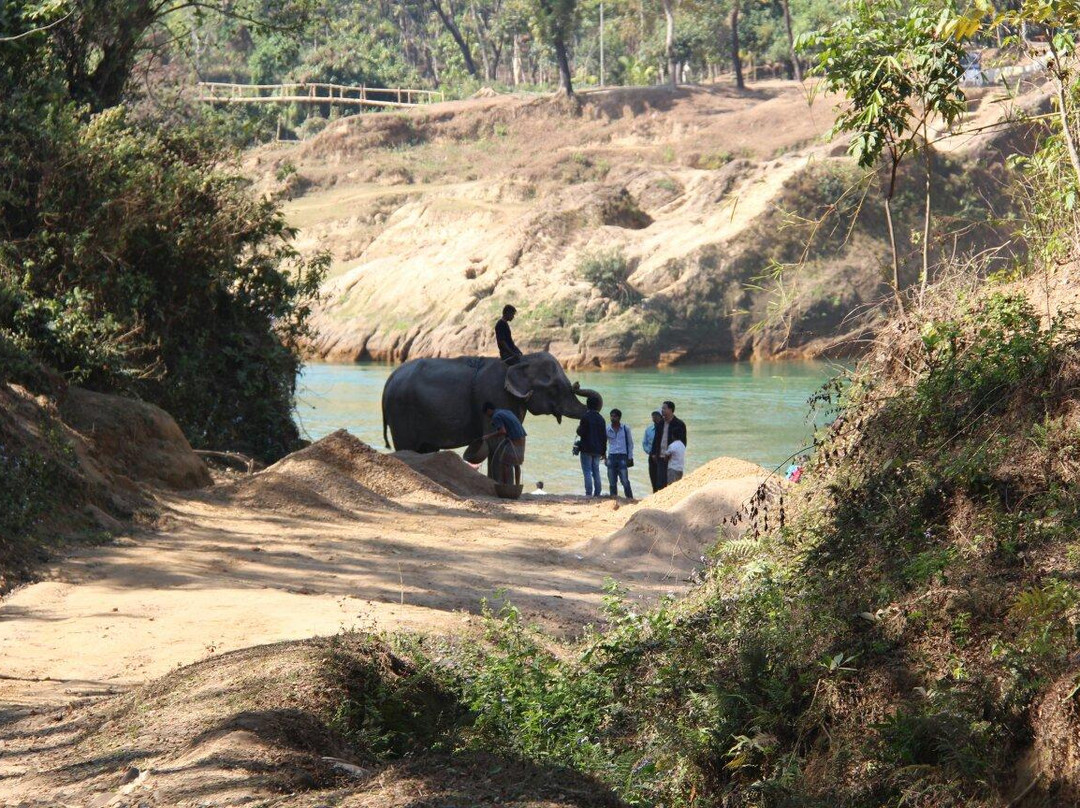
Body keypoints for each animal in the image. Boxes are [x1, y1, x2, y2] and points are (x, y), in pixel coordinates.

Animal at [382, 354, 604, 453]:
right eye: (555, 386)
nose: (577, 384)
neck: (521, 360)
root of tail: (389, 380)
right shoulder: (495, 396)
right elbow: (497, 440)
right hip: (401, 412)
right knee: (406, 448)